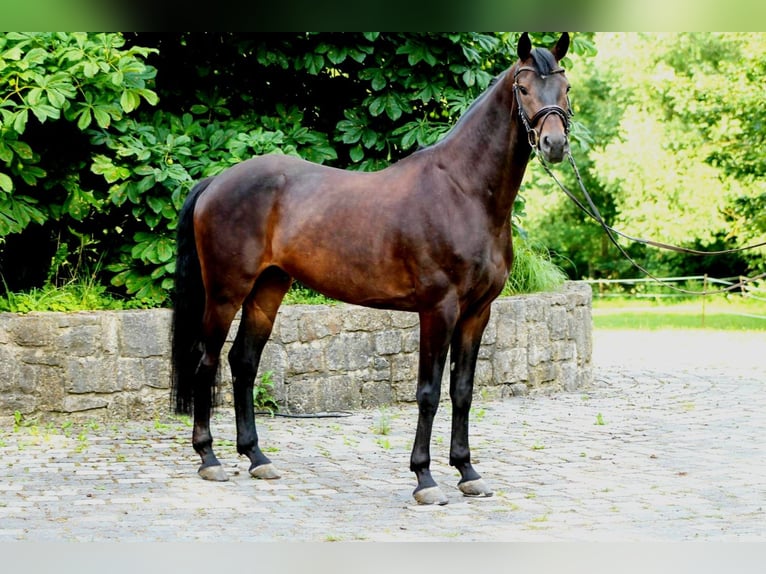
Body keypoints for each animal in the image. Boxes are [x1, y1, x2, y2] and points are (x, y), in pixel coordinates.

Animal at [171, 32, 572, 508]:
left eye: (565, 88)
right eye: (524, 88)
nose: (554, 144)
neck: (463, 191)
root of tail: (215, 182)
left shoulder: (478, 313)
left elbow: (462, 391)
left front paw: (467, 471)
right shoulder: (438, 310)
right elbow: (428, 393)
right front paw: (425, 479)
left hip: (268, 289)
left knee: (243, 362)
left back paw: (257, 457)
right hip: (225, 293)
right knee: (206, 360)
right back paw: (209, 458)